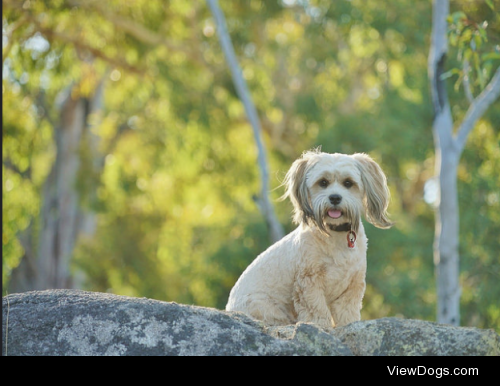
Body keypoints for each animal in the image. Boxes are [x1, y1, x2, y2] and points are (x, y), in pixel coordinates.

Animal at [227, 149, 394, 328]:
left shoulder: (351, 287)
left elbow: (347, 315)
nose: (335, 197)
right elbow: (317, 312)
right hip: (265, 307)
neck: (335, 233)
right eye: (323, 182)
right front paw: (321, 327)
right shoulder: (309, 283)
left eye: (348, 183)